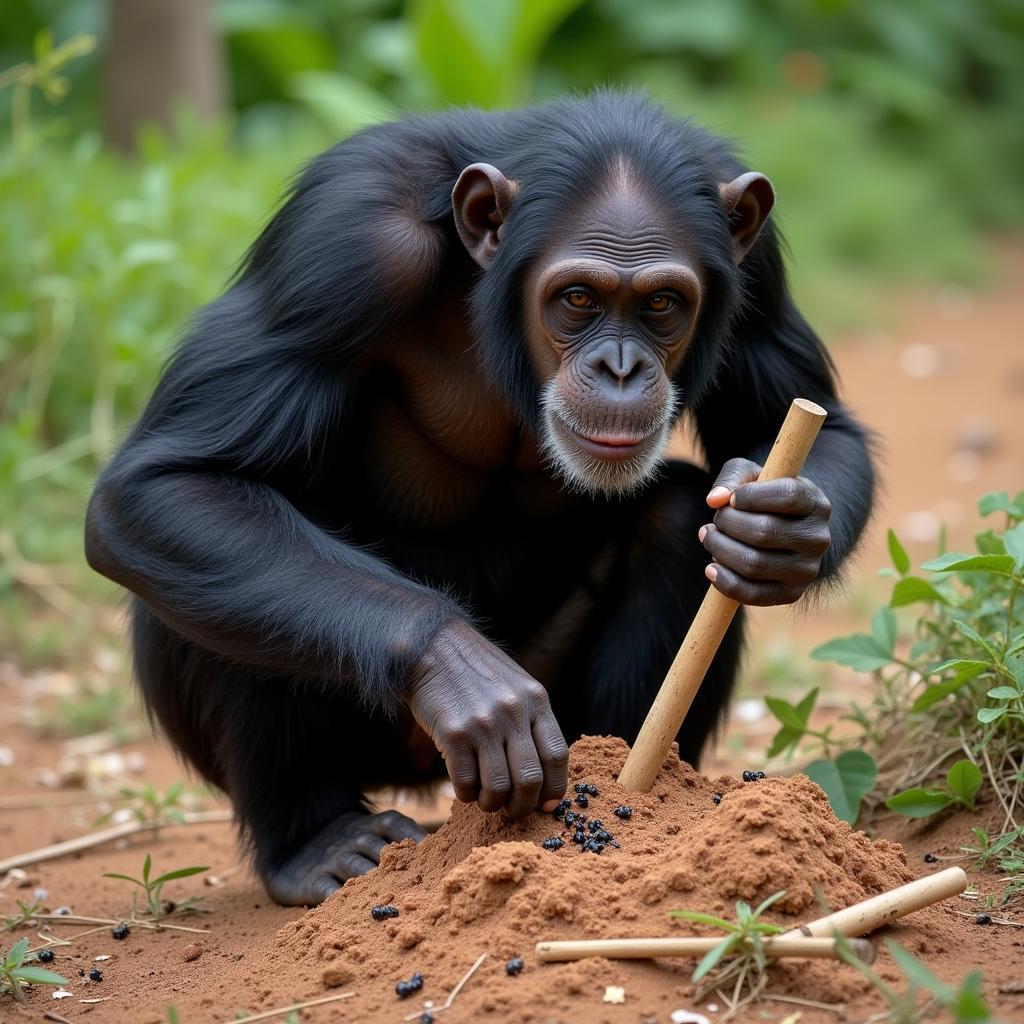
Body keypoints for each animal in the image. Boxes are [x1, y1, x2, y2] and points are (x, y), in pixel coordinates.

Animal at [86, 90, 872, 905]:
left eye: (661, 304)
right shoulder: (338, 247)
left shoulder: (761, 262)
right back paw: (316, 841)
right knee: (229, 560)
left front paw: (778, 530)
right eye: (578, 297)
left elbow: (799, 416)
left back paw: (628, 779)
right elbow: (172, 482)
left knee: (675, 513)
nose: (621, 367)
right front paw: (465, 676)